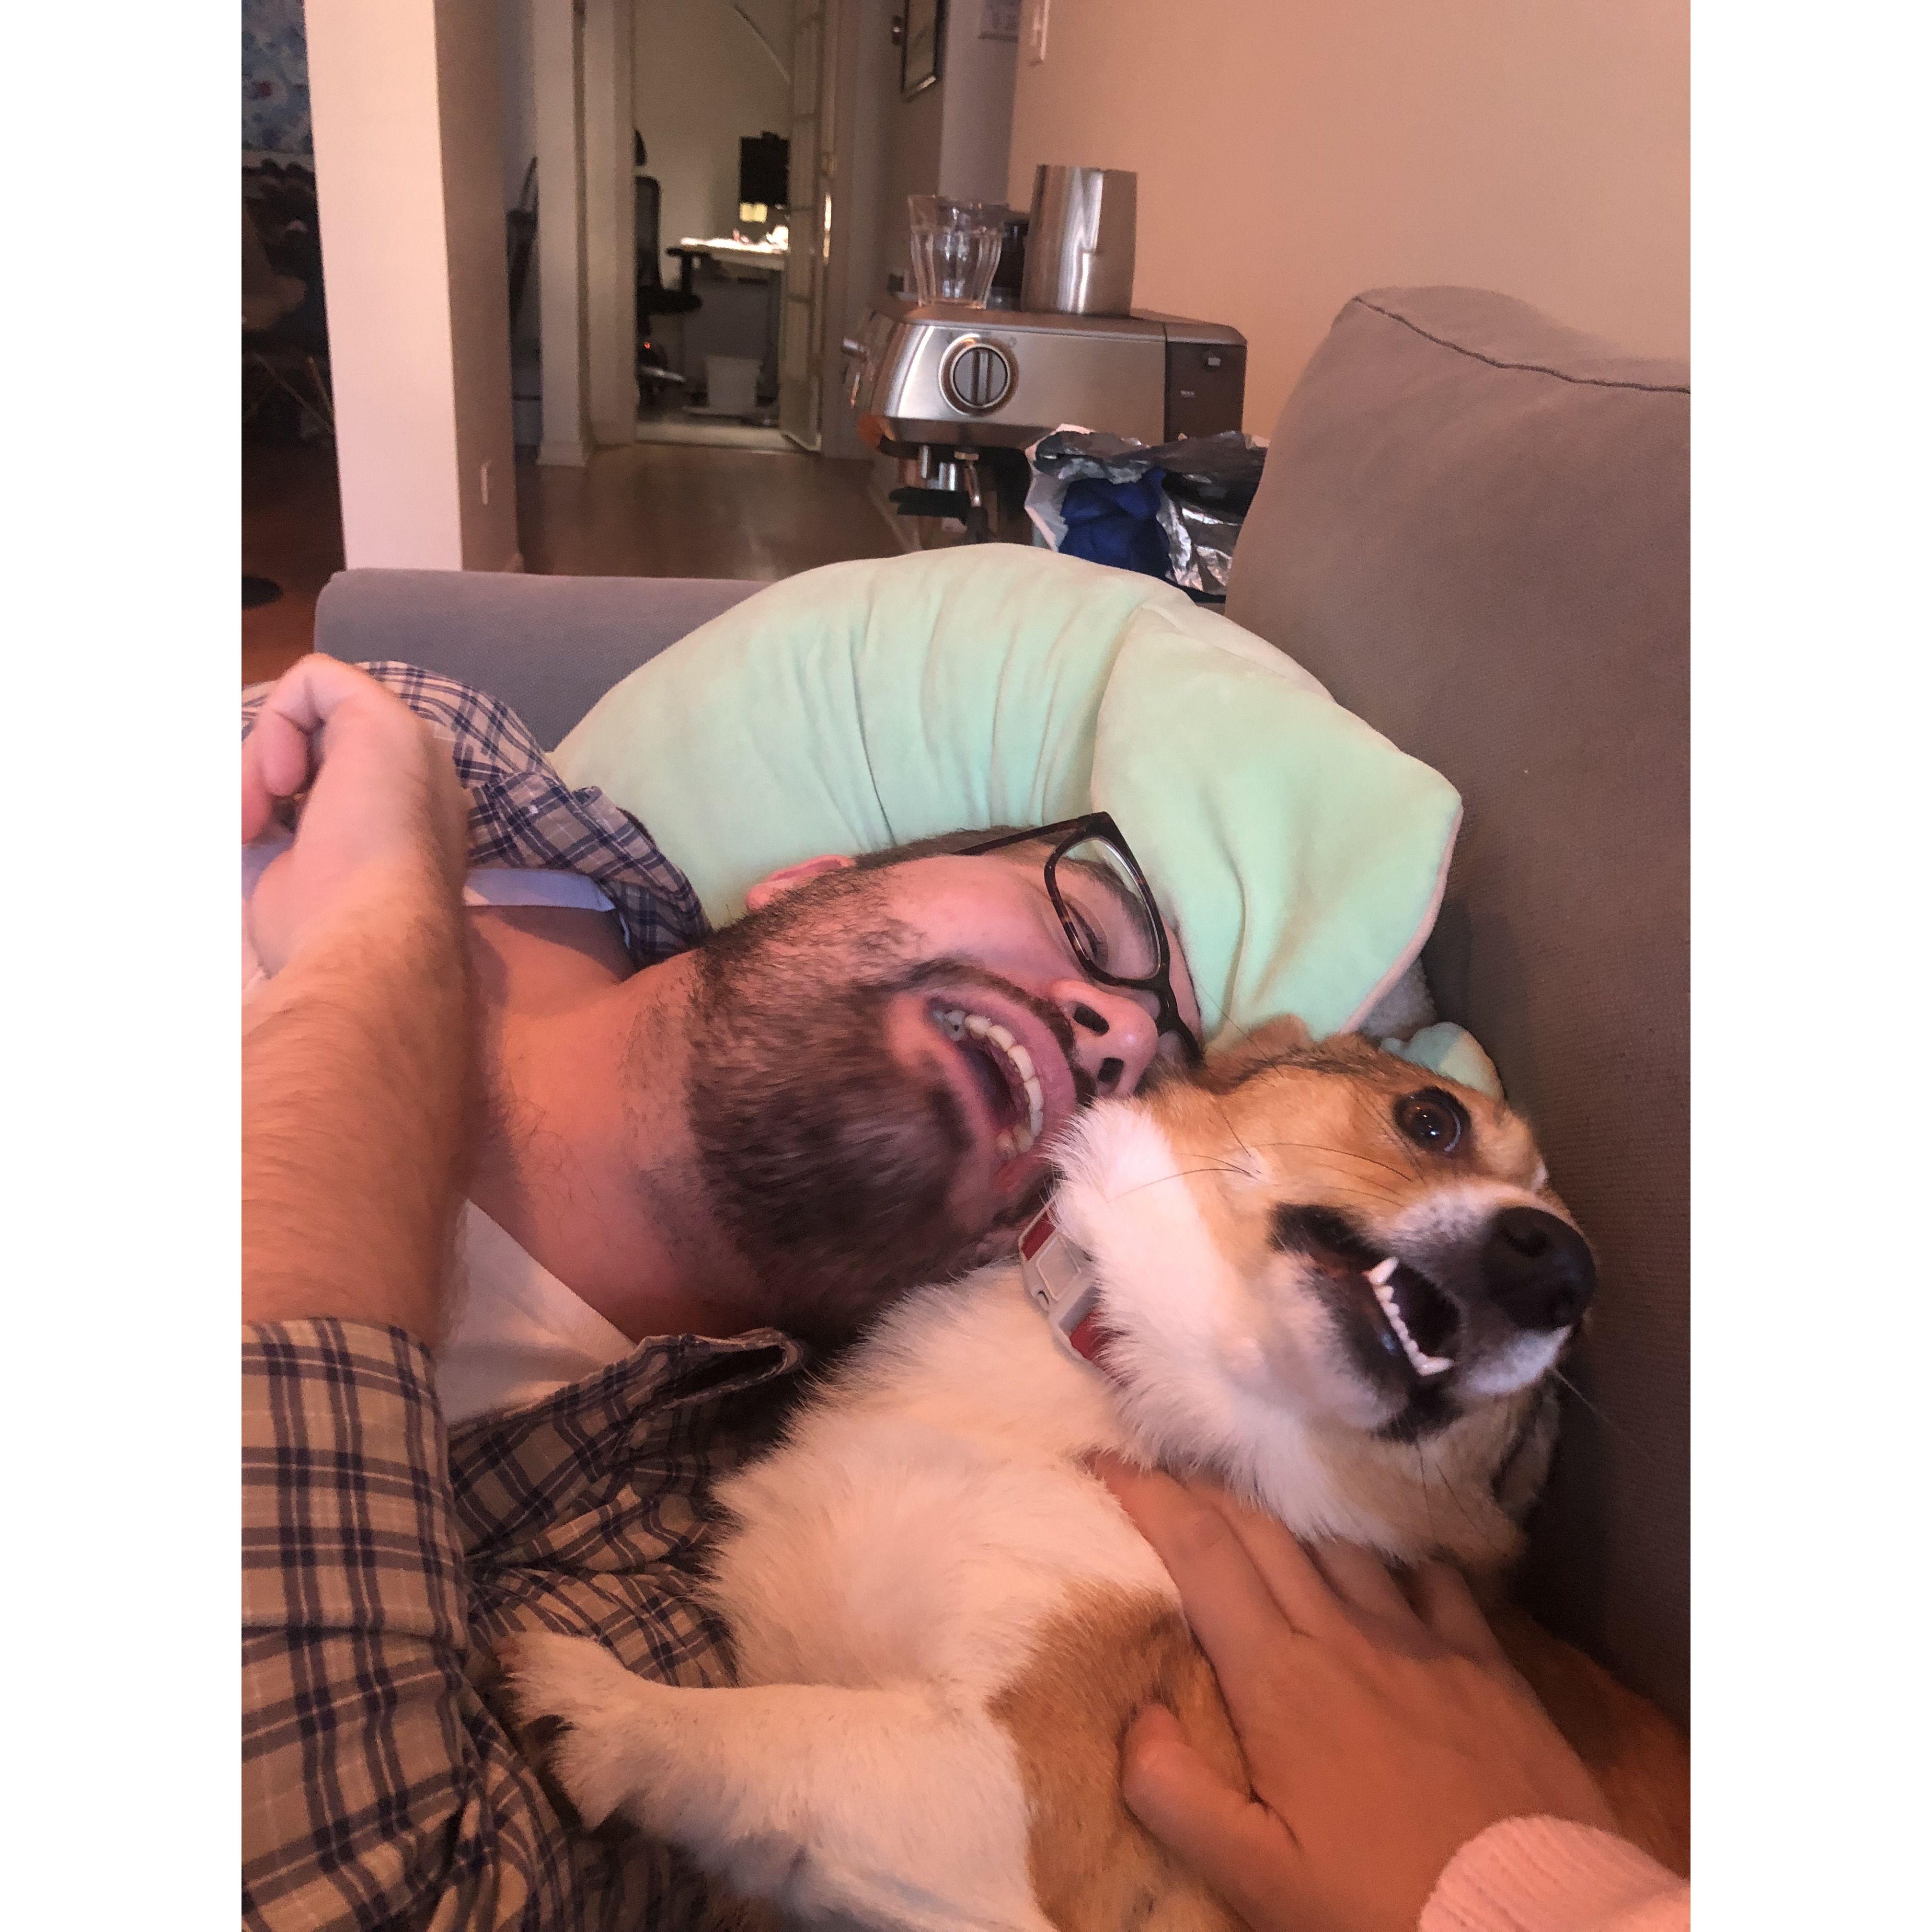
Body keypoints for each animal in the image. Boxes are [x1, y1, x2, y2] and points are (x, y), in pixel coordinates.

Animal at [506, 1017, 1598, 1931]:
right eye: (1432, 1118)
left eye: (1573, 1340)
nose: (1562, 1269)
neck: (1145, 1396)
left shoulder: (1002, 1797)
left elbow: (787, 1733)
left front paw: (613, 1707)